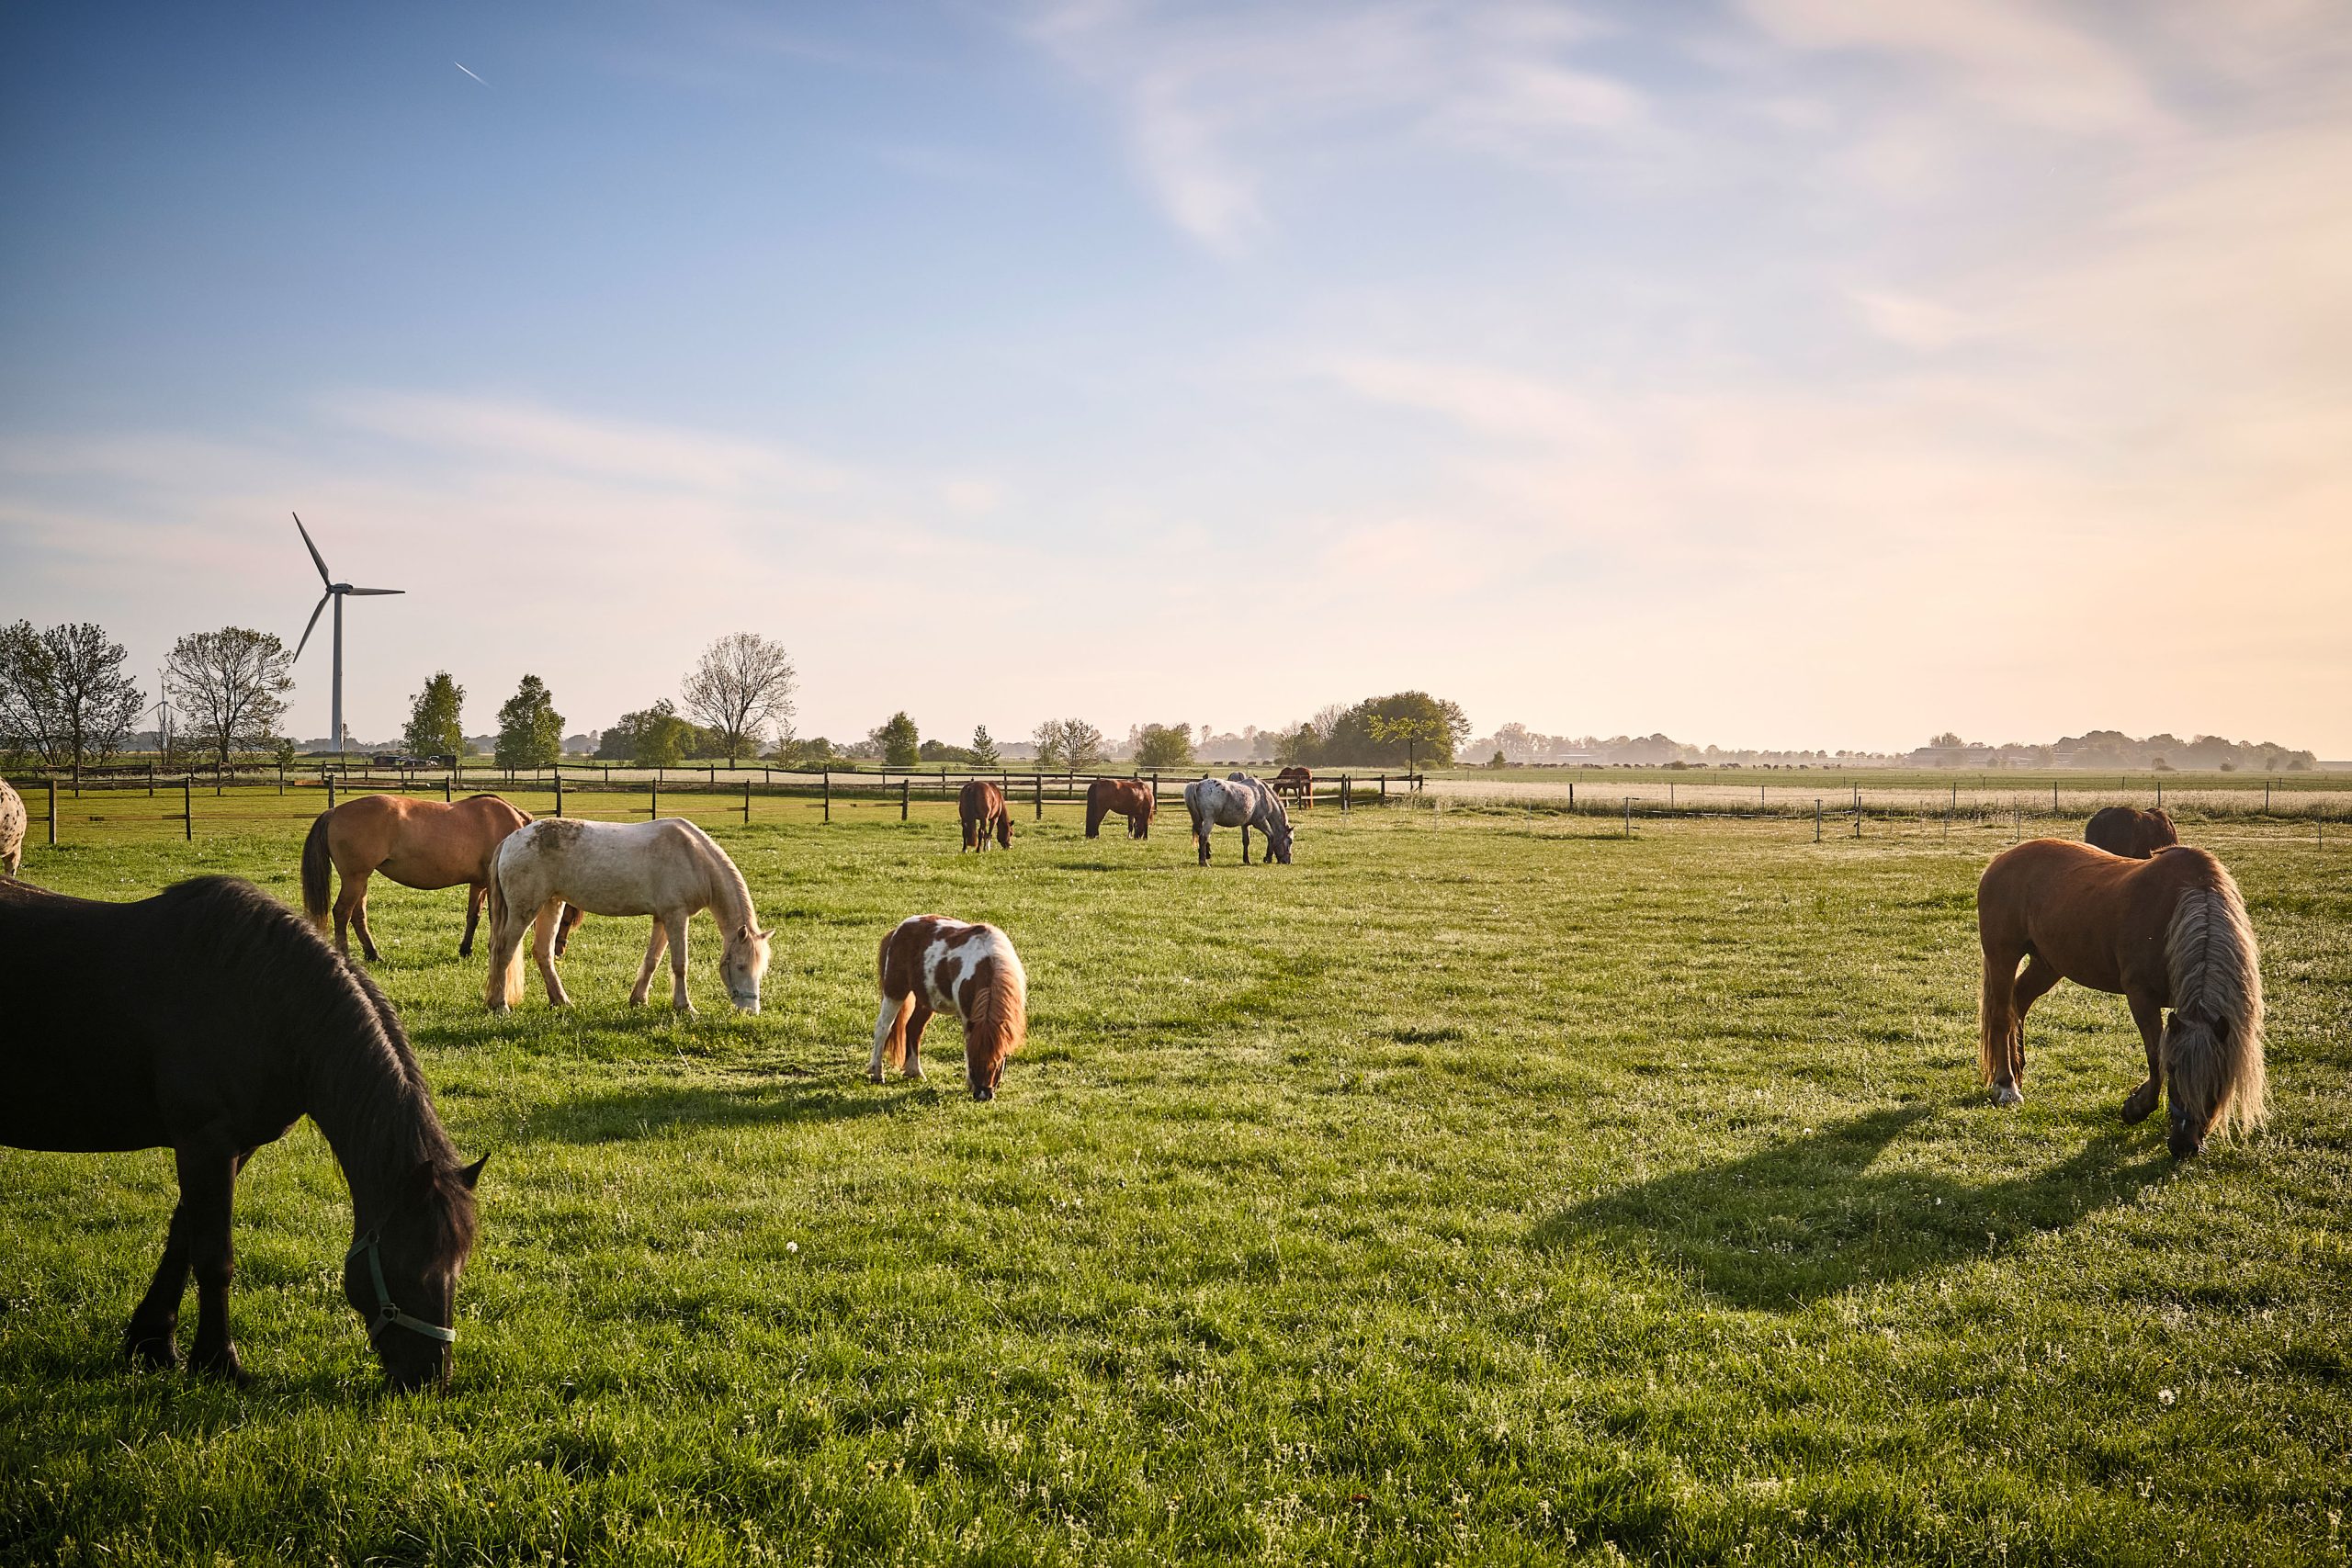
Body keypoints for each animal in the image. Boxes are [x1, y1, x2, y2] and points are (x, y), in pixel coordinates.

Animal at [0, 876, 484, 1390]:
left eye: (458, 1265)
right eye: (410, 1265)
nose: (430, 1378)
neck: (260, 1000)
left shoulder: (235, 1147)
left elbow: (183, 1239)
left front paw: (154, 1343)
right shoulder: (204, 1143)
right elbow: (215, 1258)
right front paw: (219, 1362)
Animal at [303, 792, 582, 961]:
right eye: (567, 920)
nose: (559, 951)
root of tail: (335, 812)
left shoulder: (479, 884)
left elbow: (473, 916)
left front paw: (466, 950)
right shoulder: (493, 887)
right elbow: (493, 919)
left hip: (361, 880)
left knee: (358, 915)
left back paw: (373, 954)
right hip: (355, 878)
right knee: (341, 913)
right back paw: (345, 955)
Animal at [485, 816, 771, 1014]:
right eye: (740, 966)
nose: (751, 1011)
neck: (692, 856)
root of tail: (510, 841)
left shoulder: (663, 918)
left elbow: (653, 960)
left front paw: (639, 1000)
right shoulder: (676, 916)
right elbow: (680, 964)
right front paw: (685, 1007)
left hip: (551, 904)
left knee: (543, 953)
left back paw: (561, 1001)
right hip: (524, 911)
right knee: (504, 951)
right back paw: (500, 1005)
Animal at [868, 915, 1028, 1101]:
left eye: (996, 1061)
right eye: (972, 1060)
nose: (982, 1095)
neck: (989, 962)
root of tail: (898, 930)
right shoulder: (968, 1017)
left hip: (925, 1000)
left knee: (913, 1029)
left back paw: (914, 1072)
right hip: (895, 991)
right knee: (883, 1028)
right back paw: (877, 1074)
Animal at [1977, 839, 2266, 1156]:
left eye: (2220, 1078)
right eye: (2174, 1069)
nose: (2183, 1145)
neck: (2180, 909)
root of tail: (2001, 860)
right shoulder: (2141, 996)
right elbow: (2155, 1057)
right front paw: (2136, 1108)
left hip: (2047, 963)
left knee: (2019, 1002)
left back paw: (2018, 1069)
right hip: (2002, 955)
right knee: (2001, 1015)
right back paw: (2007, 1085)